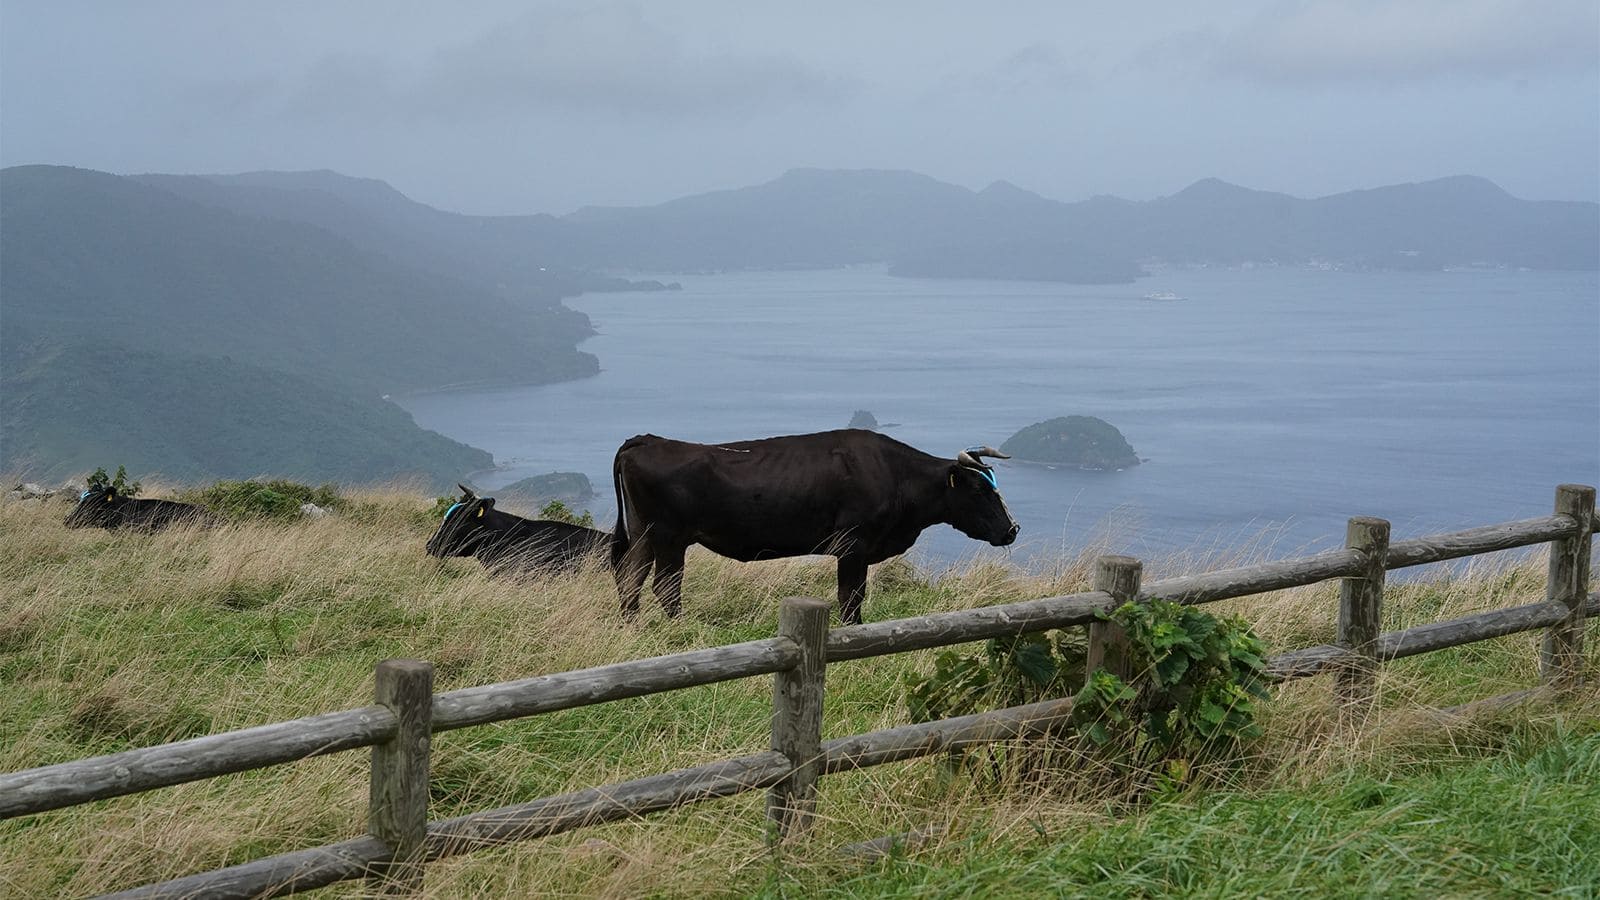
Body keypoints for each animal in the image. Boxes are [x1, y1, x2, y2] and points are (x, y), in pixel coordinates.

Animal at [604, 422, 1017, 621]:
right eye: (980, 490)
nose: (1012, 530)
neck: (896, 476)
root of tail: (646, 440)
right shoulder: (853, 544)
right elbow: (851, 597)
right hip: (669, 536)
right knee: (664, 587)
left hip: (643, 534)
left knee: (629, 579)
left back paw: (632, 628)